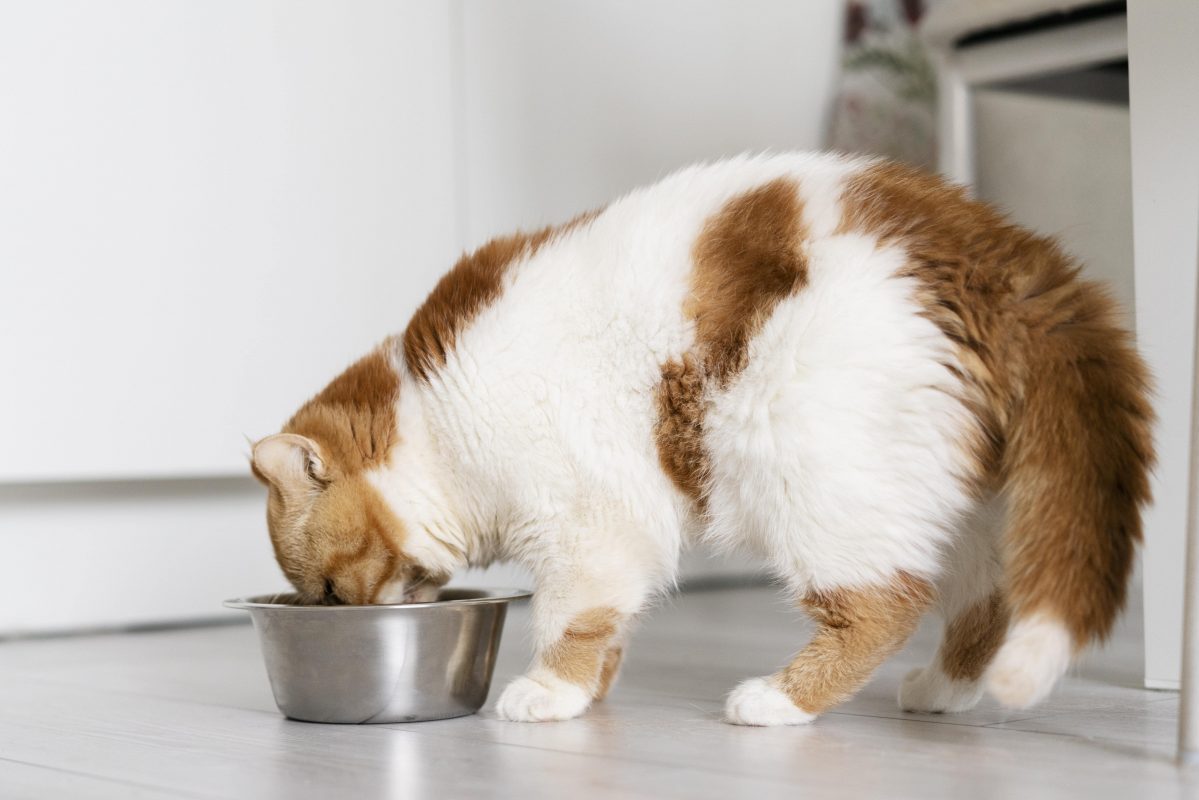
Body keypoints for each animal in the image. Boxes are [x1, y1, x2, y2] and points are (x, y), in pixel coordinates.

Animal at [250, 149, 1151, 724]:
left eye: (328, 591)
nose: (345, 614)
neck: (441, 420)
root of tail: (996, 249)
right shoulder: (616, 534)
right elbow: (609, 622)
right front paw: (591, 690)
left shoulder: (585, 522)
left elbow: (569, 618)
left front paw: (550, 691)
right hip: (963, 500)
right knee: (986, 599)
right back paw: (944, 689)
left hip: (810, 472)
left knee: (885, 604)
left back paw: (780, 701)